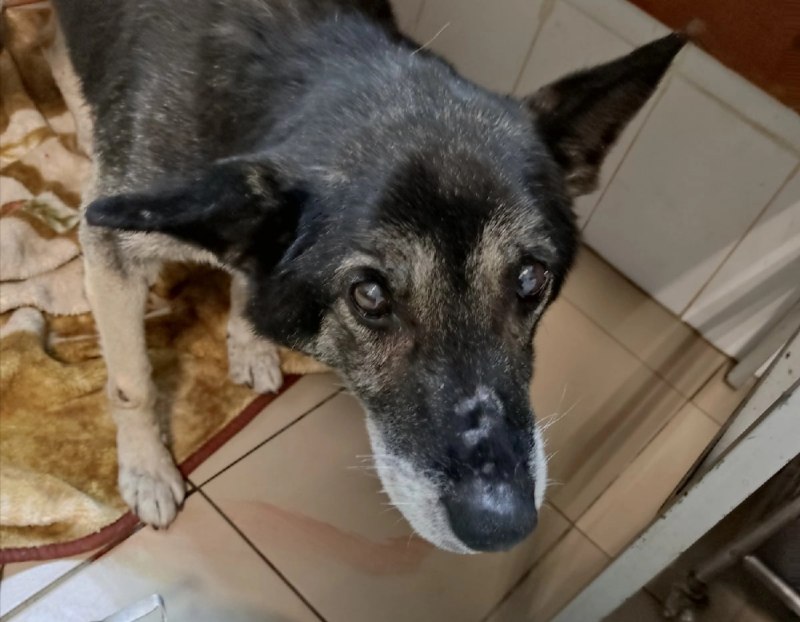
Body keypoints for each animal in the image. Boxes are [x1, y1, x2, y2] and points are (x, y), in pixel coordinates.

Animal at [52, 0, 684, 553]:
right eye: (370, 295)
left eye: (530, 278)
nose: (502, 527)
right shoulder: (114, 252)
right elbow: (132, 382)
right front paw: (147, 471)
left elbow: (248, 282)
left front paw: (249, 341)